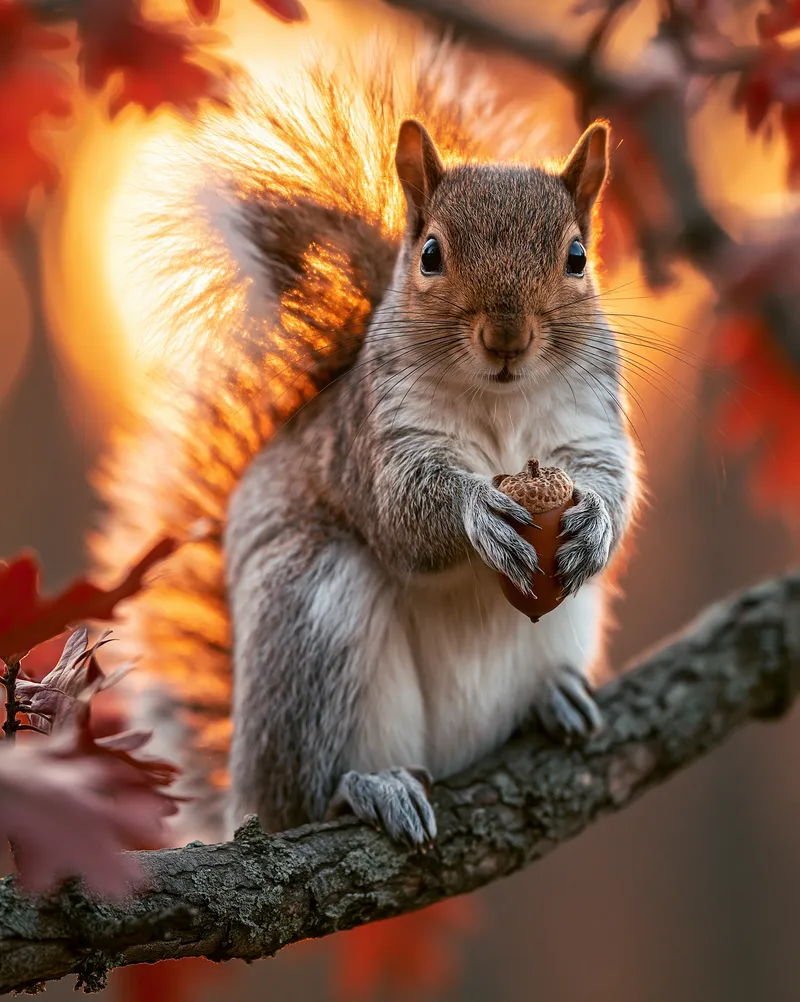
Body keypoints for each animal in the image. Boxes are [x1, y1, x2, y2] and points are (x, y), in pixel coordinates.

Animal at [93, 41, 639, 847]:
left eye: (577, 257)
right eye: (432, 254)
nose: (507, 338)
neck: (500, 403)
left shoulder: (591, 420)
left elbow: (615, 484)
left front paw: (595, 523)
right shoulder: (375, 437)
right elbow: (402, 513)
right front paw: (478, 512)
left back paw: (553, 698)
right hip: (315, 608)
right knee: (304, 796)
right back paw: (365, 789)